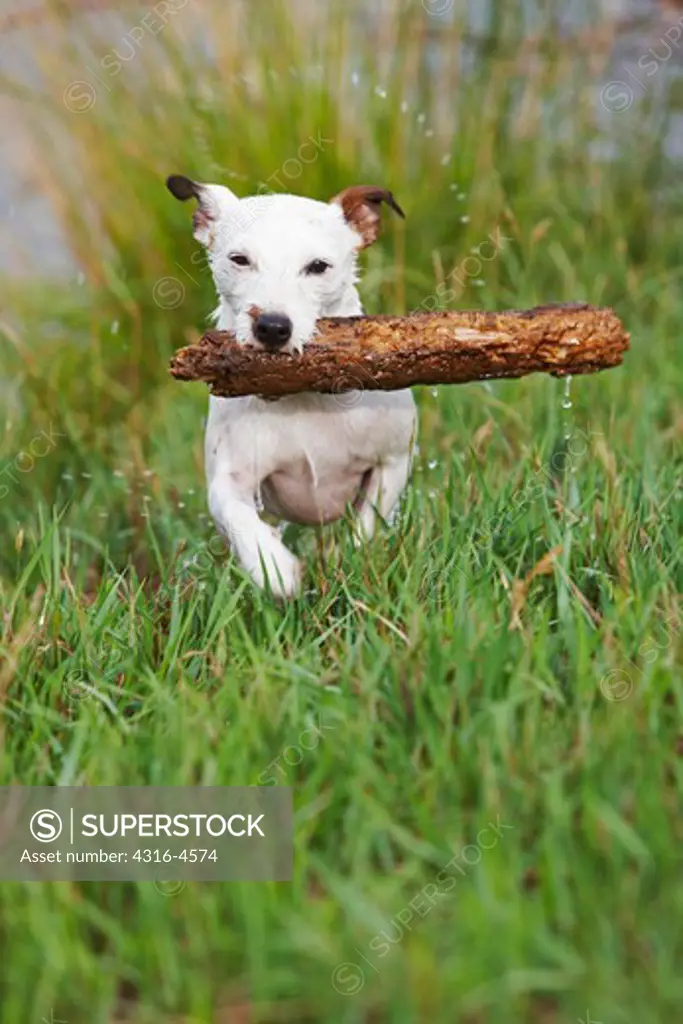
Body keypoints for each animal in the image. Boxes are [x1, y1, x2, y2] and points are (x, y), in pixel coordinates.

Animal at [169, 172, 417, 598]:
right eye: (239, 259)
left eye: (318, 266)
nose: (271, 326)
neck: (303, 395)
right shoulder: (228, 480)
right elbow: (238, 519)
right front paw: (274, 568)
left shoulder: (392, 462)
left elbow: (367, 527)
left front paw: (351, 563)